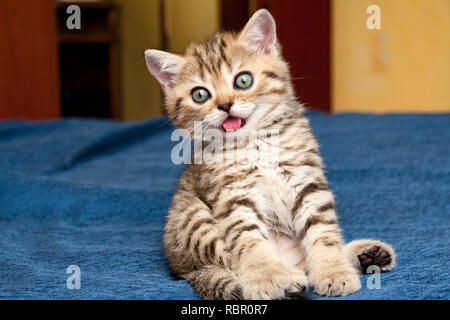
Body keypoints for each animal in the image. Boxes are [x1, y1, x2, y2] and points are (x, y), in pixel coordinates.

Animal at [144, 10, 394, 300]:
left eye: (243, 80)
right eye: (200, 95)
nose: (225, 105)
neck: (255, 142)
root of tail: (183, 270)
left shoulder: (306, 181)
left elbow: (322, 230)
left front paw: (333, 270)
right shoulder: (233, 197)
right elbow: (249, 240)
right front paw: (267, 277)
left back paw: (367, 255)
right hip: (191, 217)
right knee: (228, 263)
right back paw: (289, 279)